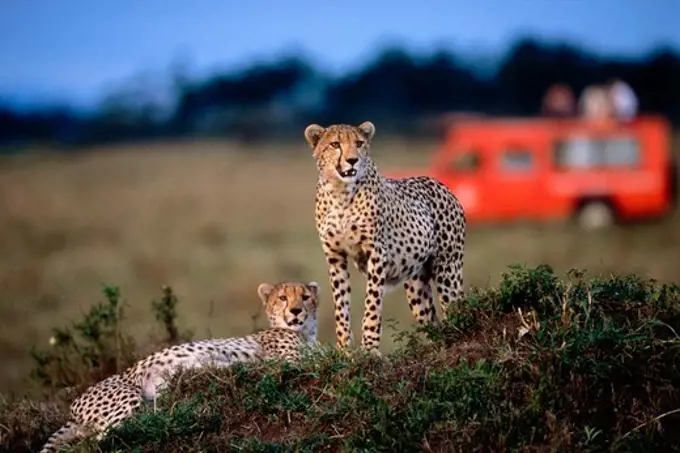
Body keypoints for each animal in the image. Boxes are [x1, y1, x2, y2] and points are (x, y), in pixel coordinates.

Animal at [40, 280, 322, 450]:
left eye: (305, 297)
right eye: (283, 298)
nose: (296, 311)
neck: (305, 333)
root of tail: (73, 408)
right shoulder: (289, 361)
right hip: (127, 398)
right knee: (102, 438)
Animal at [306, 121, 464, 354]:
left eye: (359, 143)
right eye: (335, 144)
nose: (352, 160)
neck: (340, 192)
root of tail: (442, 185)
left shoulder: (376, 253)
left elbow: (372, 303)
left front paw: (370, 347)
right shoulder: (335, 256)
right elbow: (341, 305)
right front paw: (344, 348)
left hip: (447, 271)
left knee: (458, 309)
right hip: (417, 285)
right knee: (432, 322)